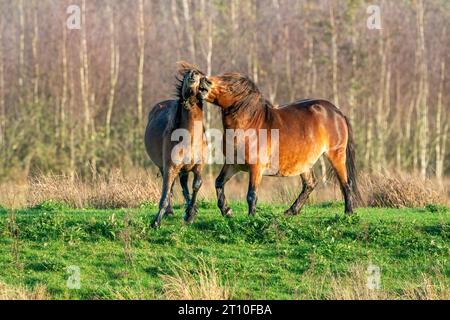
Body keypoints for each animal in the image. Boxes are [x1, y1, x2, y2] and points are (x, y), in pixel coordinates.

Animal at [145, 63, 207, 228]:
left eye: (200, 75)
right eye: (185, 75)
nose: (192, 74)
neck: (190, 139)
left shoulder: (198, 166)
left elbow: (196, 185)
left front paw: (190, 214)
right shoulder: (170, 167)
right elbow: (166, 192)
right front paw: (156, 221)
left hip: (184, 169)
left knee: (184, 184)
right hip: (164, 167)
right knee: (172, 187)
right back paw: (170, 212)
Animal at [200, 73, 362, 218]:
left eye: (231, 86)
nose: (204, 81)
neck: (250, 125)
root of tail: (338, 112)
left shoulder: (256, 168)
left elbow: (252, 194)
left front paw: (251, 218)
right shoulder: (232, 165)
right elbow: (219, 183)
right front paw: (227, 211)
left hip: (336, 155)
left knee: (345, 183)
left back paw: (348, 213)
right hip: (304, 163)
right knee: (310, 184)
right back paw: (291, 212)